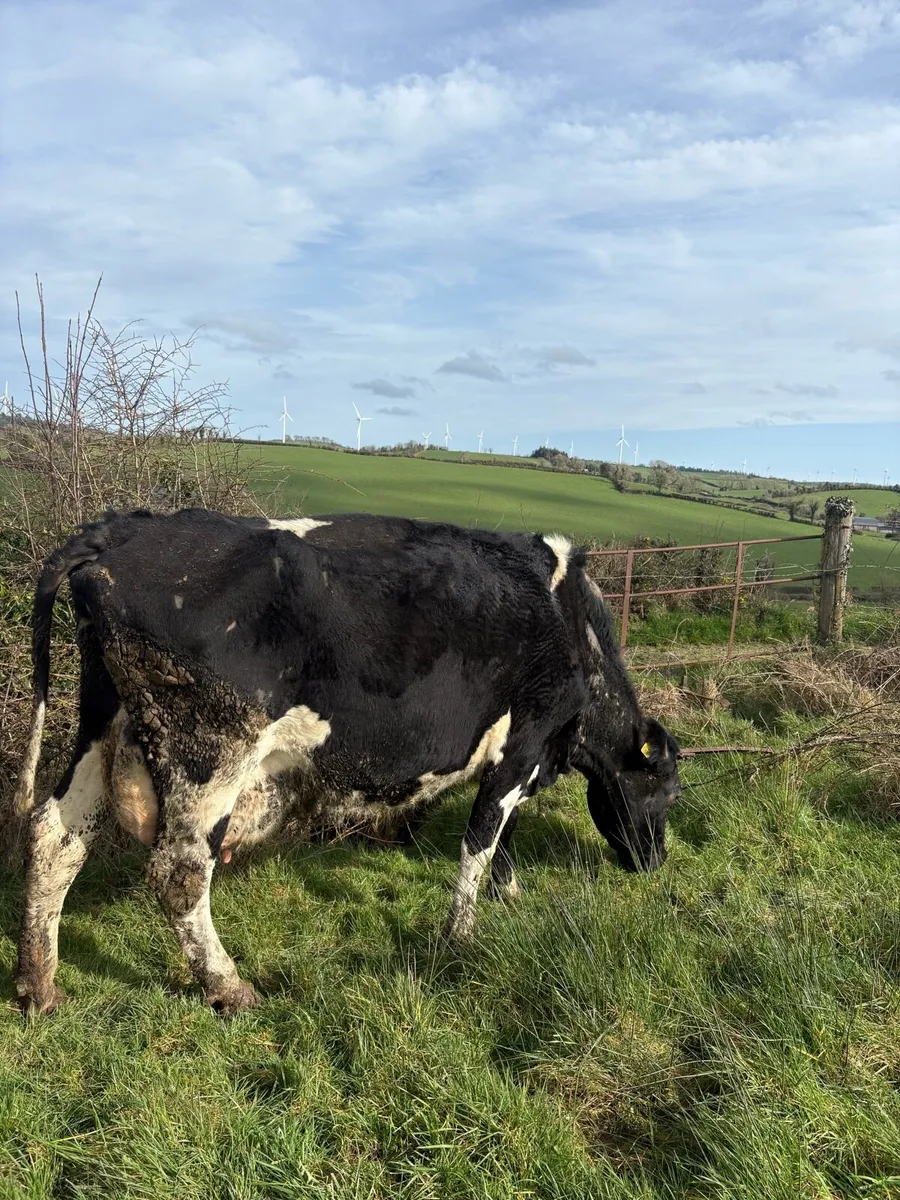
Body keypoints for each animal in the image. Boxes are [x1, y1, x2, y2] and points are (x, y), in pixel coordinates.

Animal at [14, 509, 681, 1016]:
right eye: (668, 794)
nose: (655, 864)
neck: (570, 625)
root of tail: (127, 526)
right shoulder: (522, 744)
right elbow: (481, 836)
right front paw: (461, 936)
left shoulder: (526, 757)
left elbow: (503, 830)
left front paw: (508, 892)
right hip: (209, 751)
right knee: (179, 871)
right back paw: (229, 987)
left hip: (103, 726)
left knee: (55, 837)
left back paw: (38, 985)